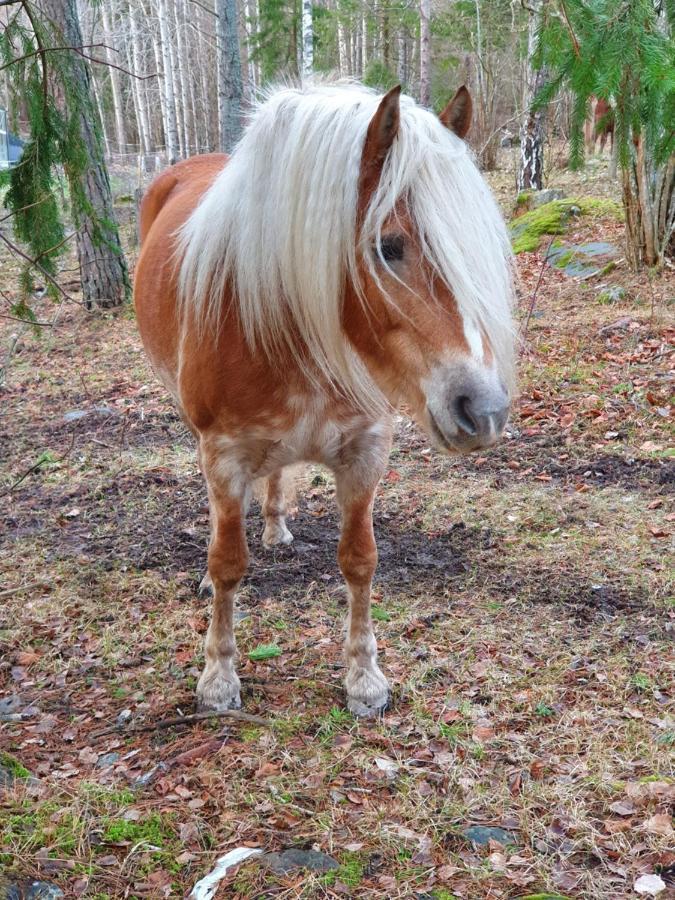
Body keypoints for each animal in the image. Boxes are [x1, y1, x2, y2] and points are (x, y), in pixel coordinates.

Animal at [135, 82, 516, 716]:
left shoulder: (366, 451)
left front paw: (364, 677)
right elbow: (228, 562)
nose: (482, 410)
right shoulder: (223, 453)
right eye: (389, 246)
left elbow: (360, 560)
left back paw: (275, 527)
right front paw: (218, 677)